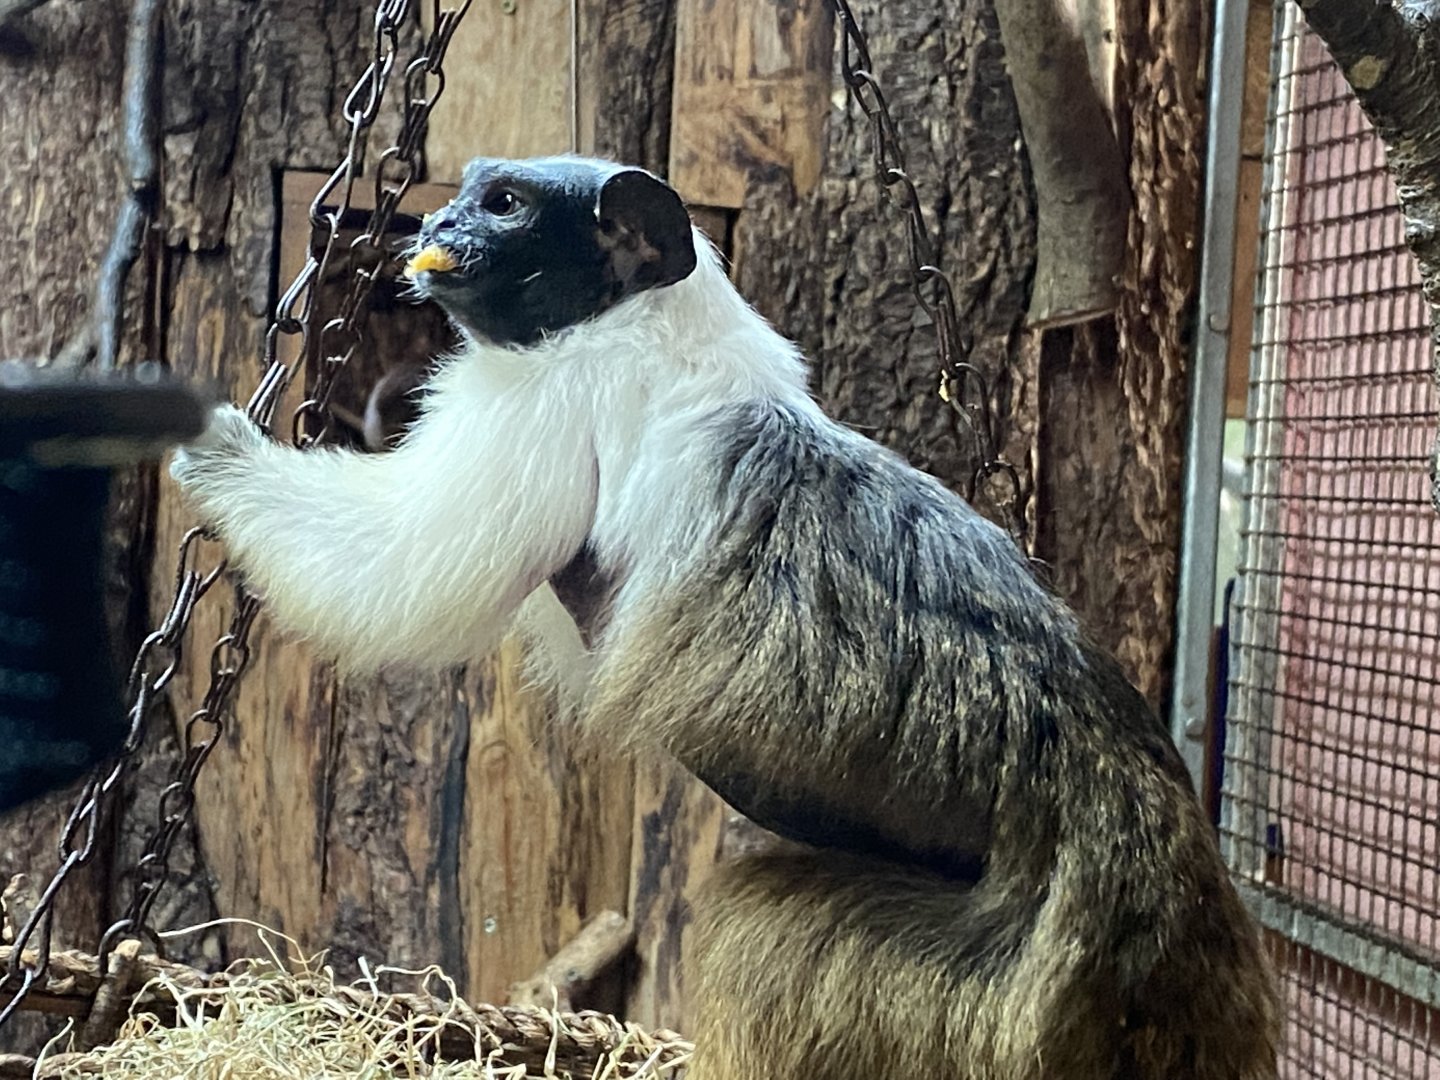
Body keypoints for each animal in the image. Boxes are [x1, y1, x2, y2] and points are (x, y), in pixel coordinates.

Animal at [169, 155, 1280, 1080]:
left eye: (504, 204)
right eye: (466, 193)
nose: (436, 221)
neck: (637, 324)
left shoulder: (547, 401)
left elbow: (406, 568)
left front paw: (207, 445)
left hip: (990, 1004)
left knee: (763, 932)